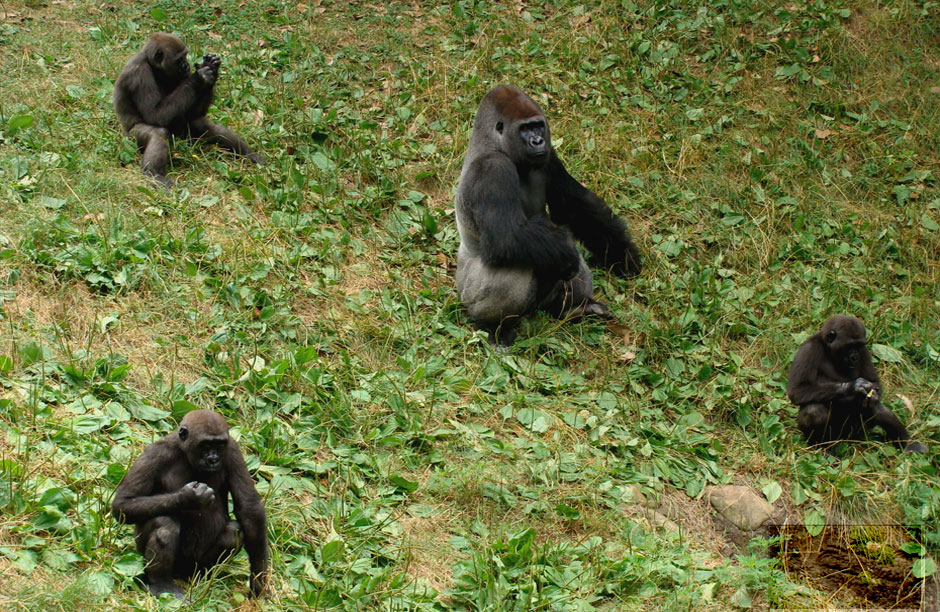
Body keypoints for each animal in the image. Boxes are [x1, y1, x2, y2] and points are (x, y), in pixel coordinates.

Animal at [113, 32, 262, 185]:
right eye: (179, 59)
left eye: (185, 56)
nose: (186, 65)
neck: (152, 65)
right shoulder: (139, 74)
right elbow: (154, 115)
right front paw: (199, 77)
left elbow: (193, 113)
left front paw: (212, 70)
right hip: (129, 140)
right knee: (158, 133)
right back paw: (154, 173)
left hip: (184, 137)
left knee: (203, 125)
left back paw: (248, 154)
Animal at [114, 408, 270, 600]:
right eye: (205, 445)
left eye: (219, 445)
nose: (213, 459)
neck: (184, 450)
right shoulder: (154, 453)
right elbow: (124, 503)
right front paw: (189, 498)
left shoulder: (233, 450)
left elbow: (249, 508)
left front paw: (258, 580)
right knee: (164, 523)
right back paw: (160, 583)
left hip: (194, 566)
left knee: (234, 531)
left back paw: (202, 577)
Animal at [452, 83, 644, 346]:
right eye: (524, 129)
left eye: (538, 125)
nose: (537, 140)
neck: (494, 144)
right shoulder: (492, 169)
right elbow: (507, 238)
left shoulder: (549, 157)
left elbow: (576, 207)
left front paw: (622, 254)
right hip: (468, 294)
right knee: (514, 266)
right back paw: (493, 327)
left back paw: (575, 308)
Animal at [784, 316, 924, 454]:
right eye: (849, 346)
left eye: (858, 345)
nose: (854, 356)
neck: (828, 349)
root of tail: (847, 439)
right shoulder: (809, 349)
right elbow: (798, 390)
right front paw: (853, 387)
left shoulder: (864, 351)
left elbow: (874, 383)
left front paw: (870, 393)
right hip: (836, 436)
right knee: (813, 410)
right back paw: (823, 448)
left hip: (858, 430)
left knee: (876, 408)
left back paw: (908, 443)